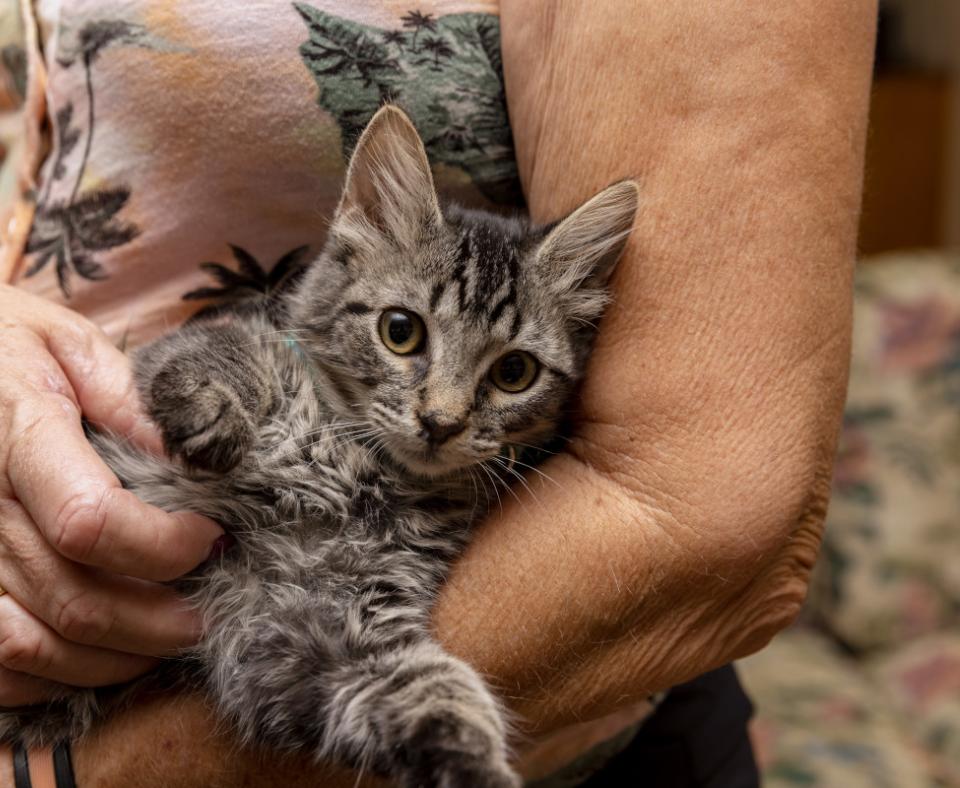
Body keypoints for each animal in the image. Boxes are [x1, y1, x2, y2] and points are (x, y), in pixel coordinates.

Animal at [5, 106, 644, 788]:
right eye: (400, 331)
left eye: (514, 373)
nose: (440, 422)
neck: (353, 471)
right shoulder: (179, 352)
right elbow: (224, 356)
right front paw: (215, 418)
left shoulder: (310, 619)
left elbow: (429, 692)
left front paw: (474, 766)